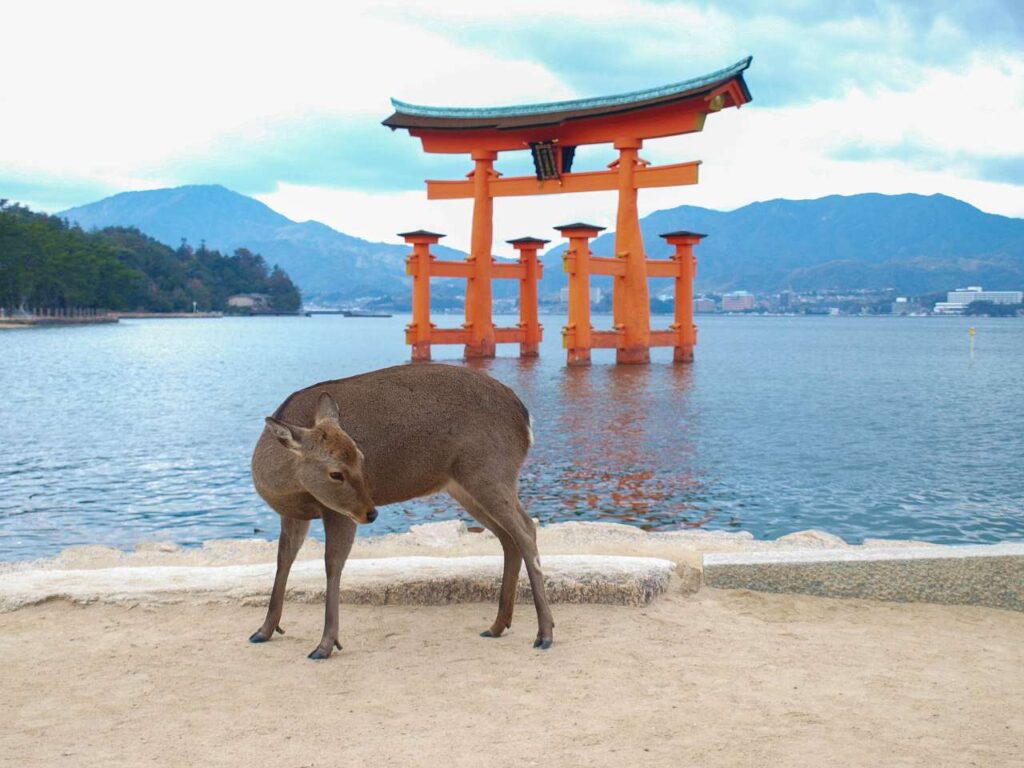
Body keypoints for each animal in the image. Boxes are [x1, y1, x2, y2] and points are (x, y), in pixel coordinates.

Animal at [247, 364, 552, 659]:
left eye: (362, 458)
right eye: (335, 473)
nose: (371, 513)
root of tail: (526, 420)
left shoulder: (339, 512)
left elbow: (332, 565)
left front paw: (325, 645)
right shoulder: (293, 514)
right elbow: (283, 559)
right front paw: (263, 630)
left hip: (490, 471)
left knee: (526, 530)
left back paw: (544, 633)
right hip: (465, 485)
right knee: (508, 537)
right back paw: (497, 625)